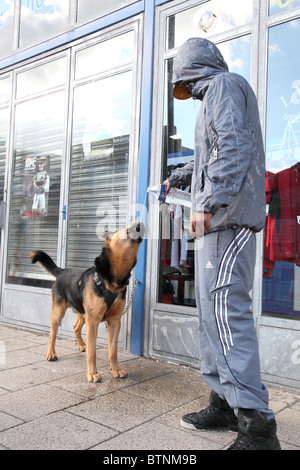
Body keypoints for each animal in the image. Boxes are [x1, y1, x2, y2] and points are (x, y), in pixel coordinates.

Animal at [30, 223, 144, 382]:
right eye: (127, 230)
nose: (140, 224)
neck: (110, 280)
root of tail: (63, 271)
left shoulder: (114, 321)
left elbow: (113, 351)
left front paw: (116, 369)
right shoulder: (93, 321)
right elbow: (93, 352)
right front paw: (92, 373)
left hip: (82, 313)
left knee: (75, 327)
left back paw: (81, 345)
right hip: (59, 313)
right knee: (52, 333)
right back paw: (51, 353)